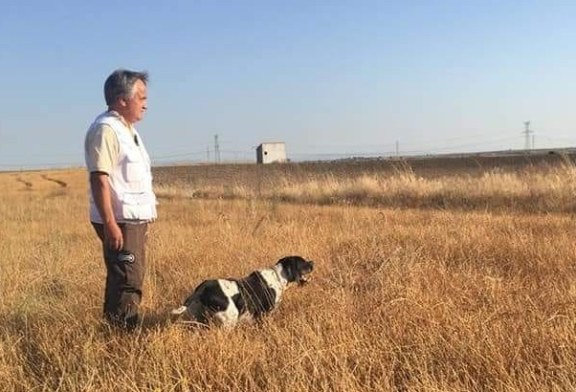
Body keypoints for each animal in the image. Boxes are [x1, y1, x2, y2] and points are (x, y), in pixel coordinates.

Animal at [171, 254, 316, 328]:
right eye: (303, 262)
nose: (312, 263)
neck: (278, 277)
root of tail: (202, 288)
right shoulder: (263, 314)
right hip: (230, 319)